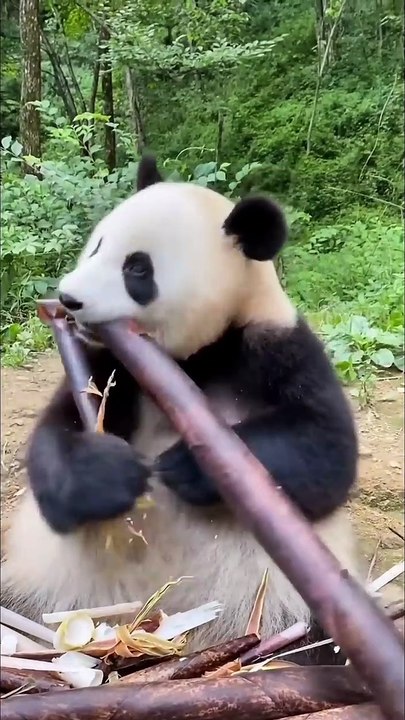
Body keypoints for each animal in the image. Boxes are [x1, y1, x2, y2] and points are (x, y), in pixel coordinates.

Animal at [2, 154, 361, 663]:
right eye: (97, 246)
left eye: (138, 269)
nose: (69, 298)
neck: (196, 356)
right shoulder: (107, 364)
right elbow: (56, 436)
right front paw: (108, 474)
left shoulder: (276, 346)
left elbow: (325, 449)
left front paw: (188, 466)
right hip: (45, 578)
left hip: (279, 604)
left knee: (313, 639)